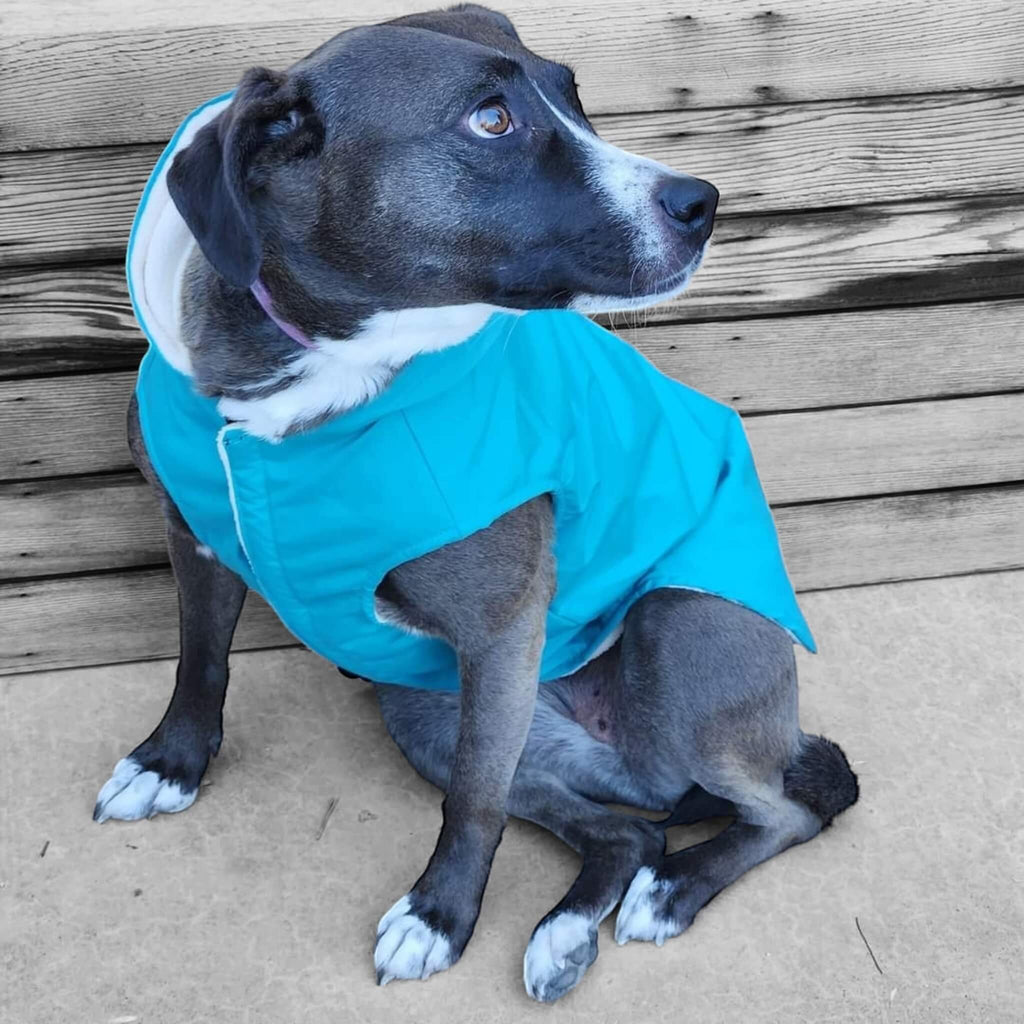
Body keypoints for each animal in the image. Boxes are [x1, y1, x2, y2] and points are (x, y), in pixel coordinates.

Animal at [94, 4, 856, 1003]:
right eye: (490, 120)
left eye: (572, 95)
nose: (702, 202)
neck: (319, 368)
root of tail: (630, 760)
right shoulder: (196, 535)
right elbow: (200, 660)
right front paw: (169, 763)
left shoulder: (500, 635)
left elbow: (474, 801)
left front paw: (439, 916)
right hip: (428, 712)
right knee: (629, 829)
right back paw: (568, 928)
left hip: (673, 625)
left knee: (784, 812)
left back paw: (672, 891)